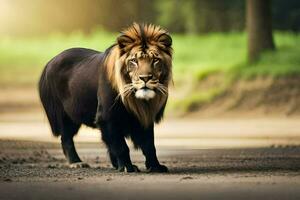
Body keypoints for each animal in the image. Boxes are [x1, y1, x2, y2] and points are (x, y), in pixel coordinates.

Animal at [38, 23, 172, 172]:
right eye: (134, 61)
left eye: (155, 60)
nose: (145, 78)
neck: (137, 101)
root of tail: (50, 62)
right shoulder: (107, 117)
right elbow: (121, 146)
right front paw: (127, 167)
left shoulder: (144, 117)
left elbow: (149, 145)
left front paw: (156, 166)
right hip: (66, 115)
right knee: (66, 138)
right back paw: (76, 162)